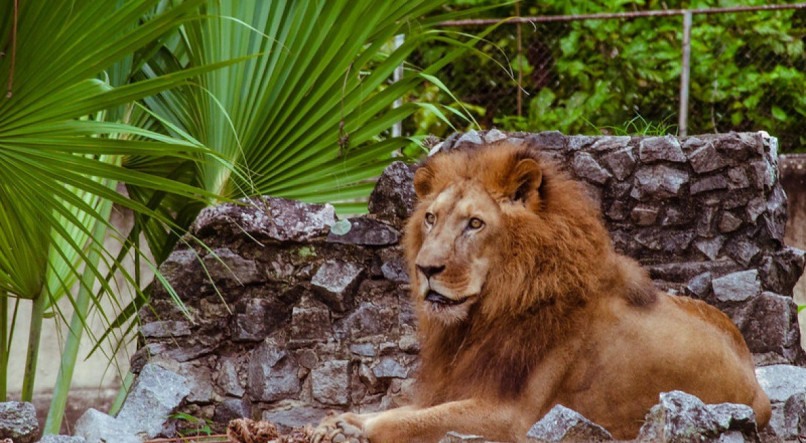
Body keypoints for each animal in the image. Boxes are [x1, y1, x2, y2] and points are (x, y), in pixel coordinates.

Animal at [312, 140, 772, 442]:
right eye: (430, 218)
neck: (483, 317)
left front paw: (351, 428)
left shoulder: (511, 418)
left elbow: (410, 420)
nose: (426, 268)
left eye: (474, 223)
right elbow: (404, 409)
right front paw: (336, 420)